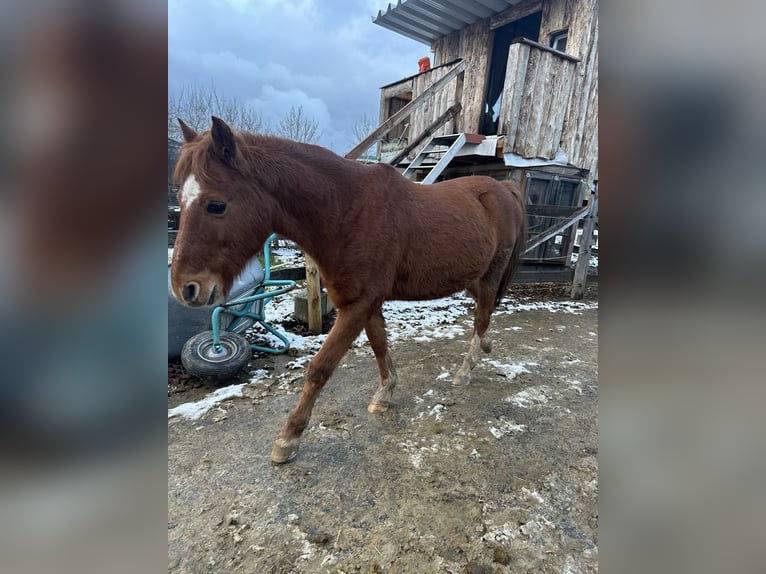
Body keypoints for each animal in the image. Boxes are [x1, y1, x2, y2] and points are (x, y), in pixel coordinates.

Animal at [171, 117, 527, 463]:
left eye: (216, 205)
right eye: (180, 201)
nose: (185, 288)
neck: (348, 211)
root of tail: (504, 188)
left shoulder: (357, 306)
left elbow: (320, 368)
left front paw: (288, 438)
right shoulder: (366, 303)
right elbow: (380, 347)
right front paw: (385, 395)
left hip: (491, 274)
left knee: (482, 316)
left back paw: (465, 371)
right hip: (471, 278)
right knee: (485, 312)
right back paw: (485, 348)